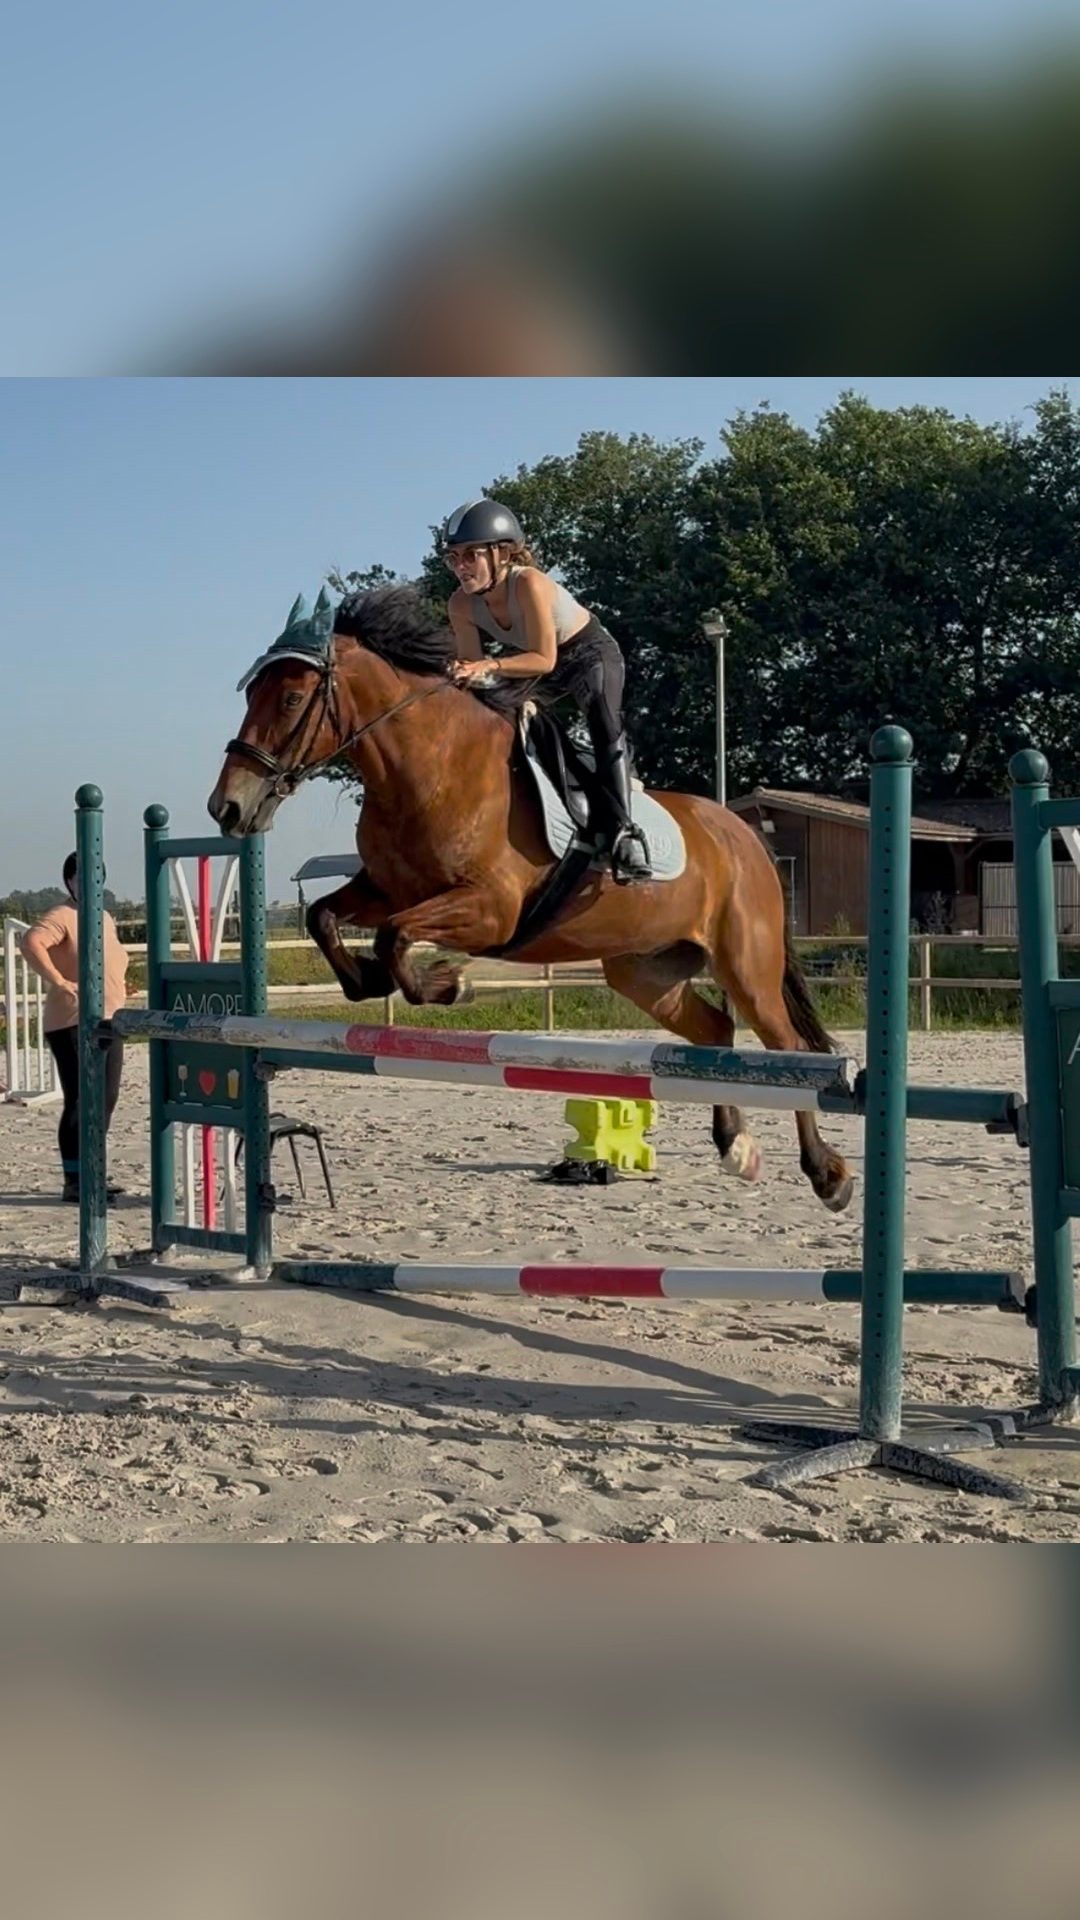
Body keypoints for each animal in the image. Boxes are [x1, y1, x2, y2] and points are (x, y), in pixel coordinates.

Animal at [208, 585, 853, 1212]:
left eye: (291, 699)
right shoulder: (385, 888)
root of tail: (742, 834)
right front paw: (368, 981)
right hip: (646, 972)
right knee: (716, 1031)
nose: (228, 808)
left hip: (746, 963)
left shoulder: (490, 909)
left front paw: (450, 984)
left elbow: (395, 937)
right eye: (253, 694)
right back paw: (735, 1145)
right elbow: (324, 917)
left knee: (789, 1047)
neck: (430, 767)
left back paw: (827, 1175)